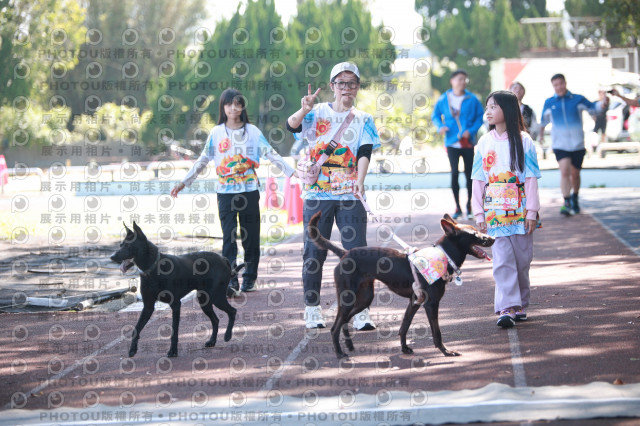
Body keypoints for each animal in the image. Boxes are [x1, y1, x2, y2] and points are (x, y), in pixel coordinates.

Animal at [110, 222, 243, 357]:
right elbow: (136, 329)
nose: (112, 257)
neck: (154, 267)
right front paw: (132, 349)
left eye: (128, 245)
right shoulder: (148, 306)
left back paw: (227, 335)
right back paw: (212, 341)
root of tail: (224, 259)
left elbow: (174, 331)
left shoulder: (175, 305)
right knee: (216, 320)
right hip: (204, 300)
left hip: (216, 297)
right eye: (120, 245)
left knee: (232, 311)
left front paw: (173, 351)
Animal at [308, 212, 495, 359]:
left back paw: (349, 346)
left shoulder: (414, 301)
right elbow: (437, 332)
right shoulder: (431, 304)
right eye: (475, 233)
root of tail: (345, 253)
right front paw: (446, 351)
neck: (443, 255)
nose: (492, 238)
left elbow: (404, 326)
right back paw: (340, 353)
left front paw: (404, 348)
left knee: (344, 322)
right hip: (348, 298)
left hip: (364, 298)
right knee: (335, 327)